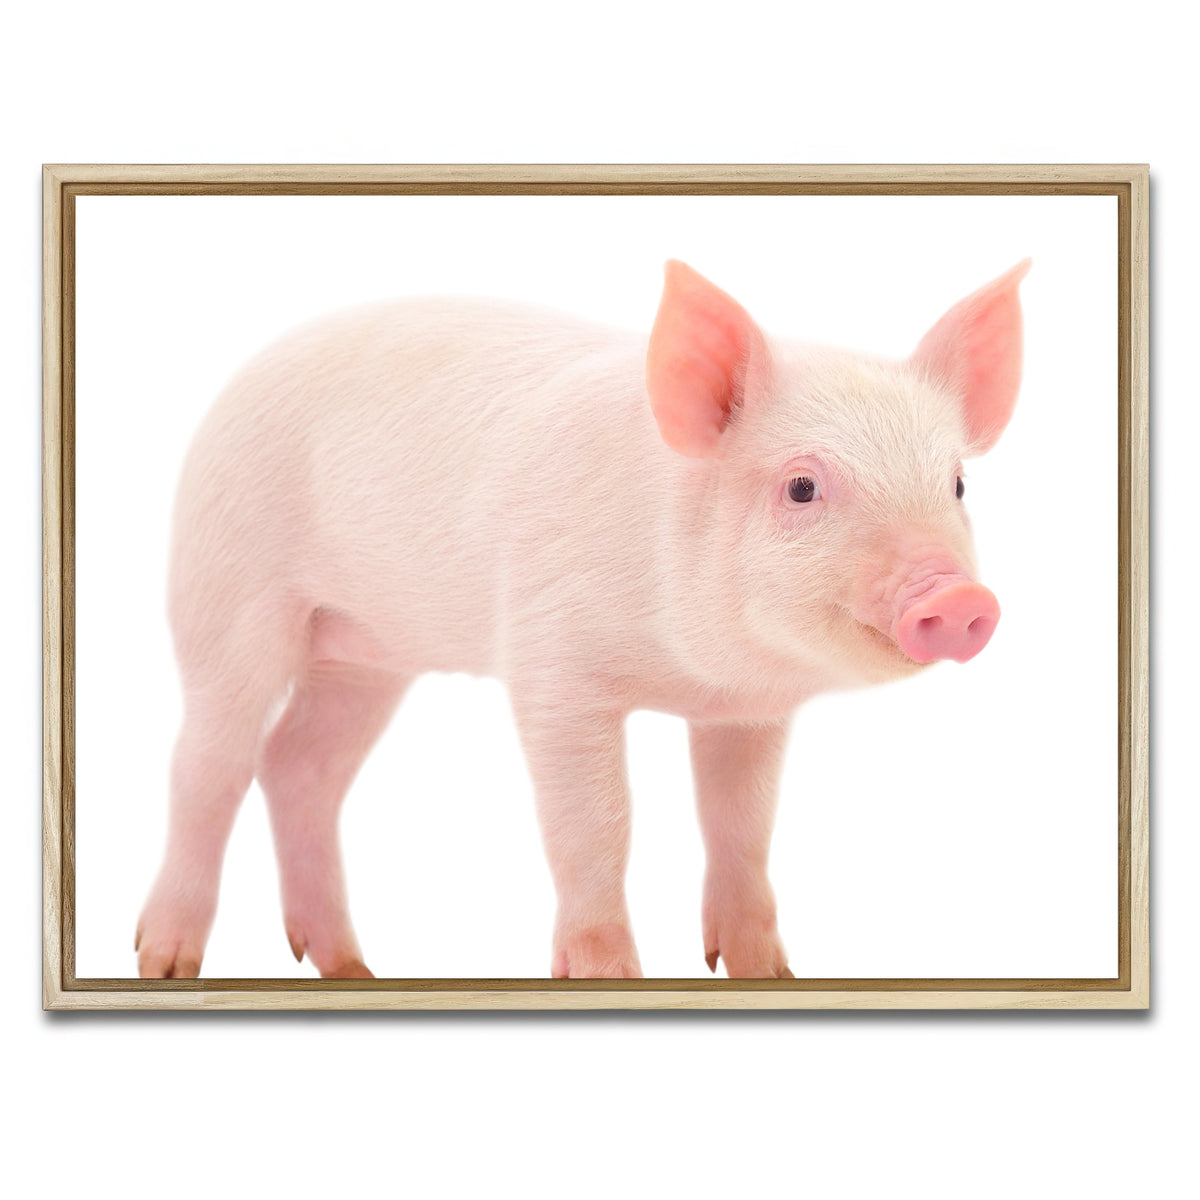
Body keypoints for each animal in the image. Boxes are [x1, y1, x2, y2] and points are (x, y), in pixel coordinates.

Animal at [135, 258, 1030, 981]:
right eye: (802, 487)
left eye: (956, 484)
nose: (958, 599)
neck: (693, 674)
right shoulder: (552, 666)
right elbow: (598, 823)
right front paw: (607, 976)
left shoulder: (749, 712)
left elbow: (741, 824)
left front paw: (766, 974)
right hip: (227, 589)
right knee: (210, 764)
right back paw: (164, 962)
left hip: (365, 654)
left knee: (300, 766)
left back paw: (353, 968)